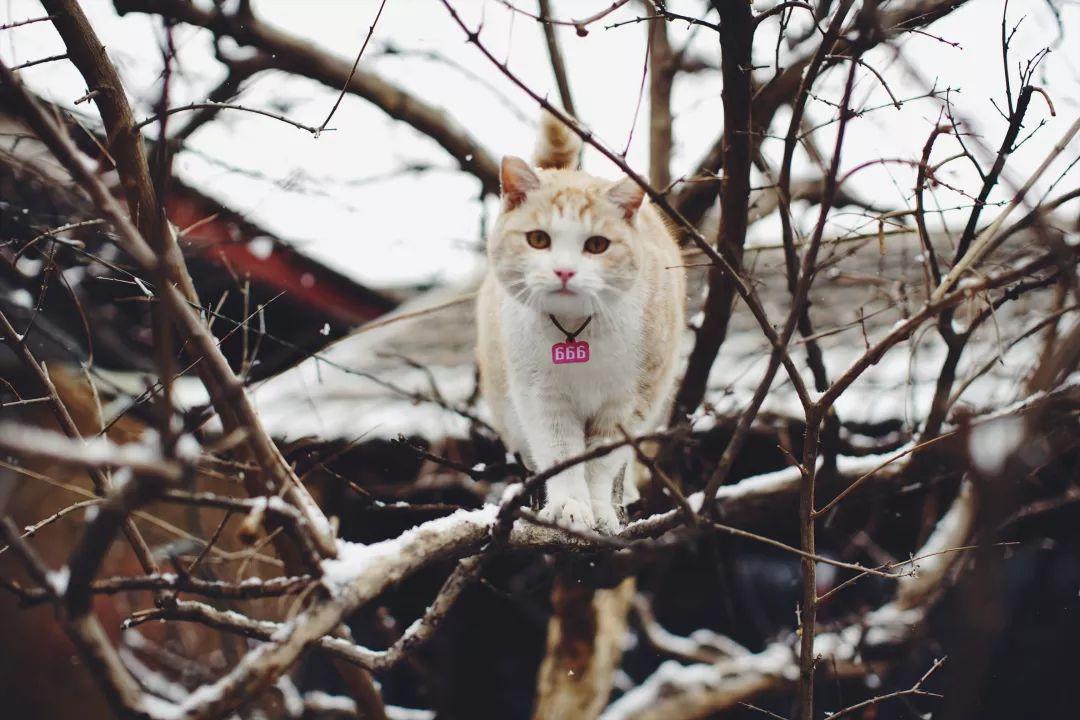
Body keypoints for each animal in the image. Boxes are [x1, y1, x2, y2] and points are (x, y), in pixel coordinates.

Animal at [479, 110, 686, 533]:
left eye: (596, 245)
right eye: (538, 240)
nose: (564, 271)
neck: (576, 332)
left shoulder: (628, 404)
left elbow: (602, 465)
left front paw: (601, 511)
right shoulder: (543, 401)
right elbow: (561, 457)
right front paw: (570, 506)